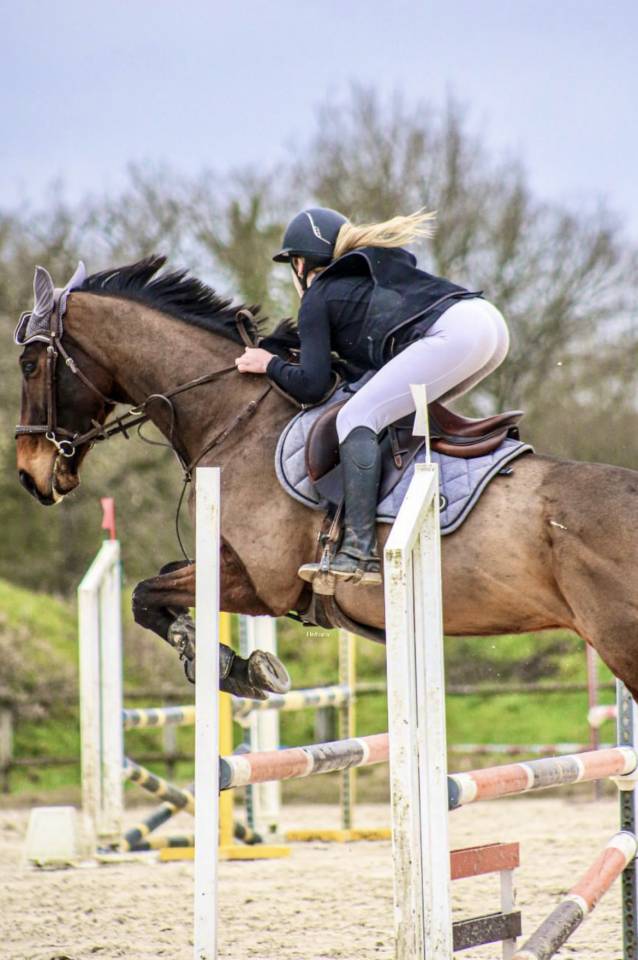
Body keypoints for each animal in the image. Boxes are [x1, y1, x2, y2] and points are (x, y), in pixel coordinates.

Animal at [14, 256, 638, 701]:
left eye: (28, 364)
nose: (29, 475)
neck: (235, 417)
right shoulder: (231, 562)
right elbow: (158, 585)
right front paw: (233, 664)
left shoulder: (264, 584)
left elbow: (145, 594)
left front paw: (224, 662)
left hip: (620, 642)